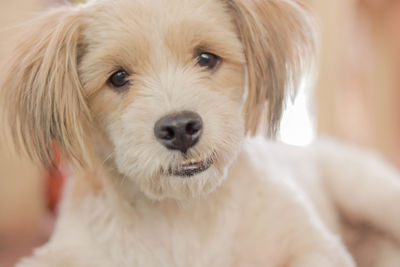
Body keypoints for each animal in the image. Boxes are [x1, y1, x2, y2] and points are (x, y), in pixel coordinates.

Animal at [0, 0, 400, 266]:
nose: (180, 128)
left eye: (206, 58)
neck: (182, 214)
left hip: (371, 193)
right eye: (118, 78)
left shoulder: (312, 245)